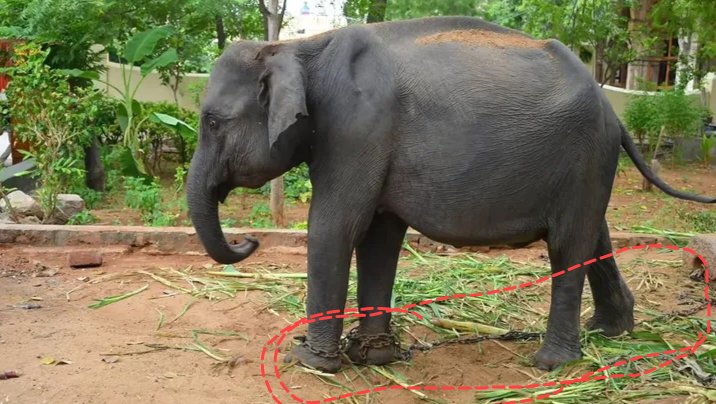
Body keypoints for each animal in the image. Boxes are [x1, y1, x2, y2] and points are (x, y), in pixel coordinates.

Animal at [186, 16, 716, 373]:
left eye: (212, 122)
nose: (249, 240)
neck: (296, 47)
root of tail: (613, 111)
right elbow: (378, 237)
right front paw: (375, 357)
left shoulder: (355, 131)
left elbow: (335, 229)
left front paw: (311, 362)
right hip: (589, 167)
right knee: (593, 237)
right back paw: (608, 332)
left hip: (585, 155)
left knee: (568, 248)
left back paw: (552, 363)